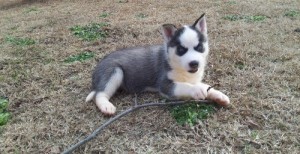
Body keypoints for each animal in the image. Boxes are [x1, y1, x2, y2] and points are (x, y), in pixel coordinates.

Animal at [85, 13, 231, 114]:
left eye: (199, 47)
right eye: (181, 50)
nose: (194, 63)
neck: (178, 67)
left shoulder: (193, 79)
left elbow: (204, 85)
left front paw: (218, 95)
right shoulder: (165, 85)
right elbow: (185, 86)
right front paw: (196, 90)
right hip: (115, 71)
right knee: (100, 94)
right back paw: (106, 106)